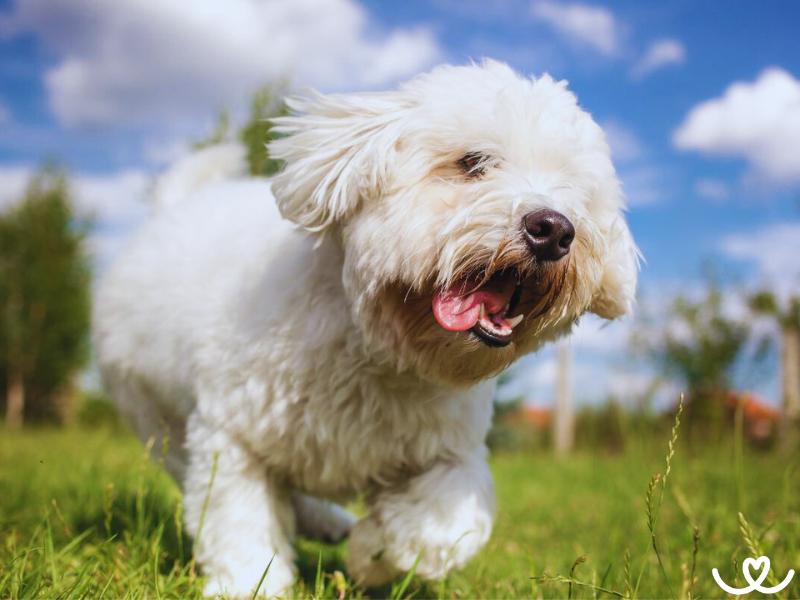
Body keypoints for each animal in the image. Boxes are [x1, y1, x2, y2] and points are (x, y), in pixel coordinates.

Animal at [94, 59, 640, 596]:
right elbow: (240, 519)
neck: (378, 351)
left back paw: (331, 523)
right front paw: (250, 582)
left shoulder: (453, 451)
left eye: (577, 196)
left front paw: (371, 554)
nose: (554, 228)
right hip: (158, 423)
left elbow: (440, 525)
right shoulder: (231, 435)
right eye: (473, 162)